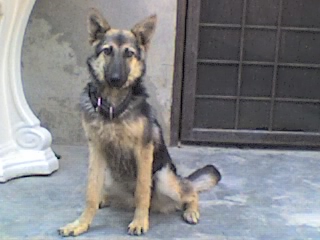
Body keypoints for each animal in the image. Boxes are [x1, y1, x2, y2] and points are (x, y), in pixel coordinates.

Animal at [58, 8, 220, 236]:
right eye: (107, 51)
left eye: (129, 53)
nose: (116, 79)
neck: (113, 108)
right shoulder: (97, 150)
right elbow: (91, 192)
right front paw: (80, 223)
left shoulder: (143, 151)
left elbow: (142, 191)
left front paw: (140, 221)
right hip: (111, 175)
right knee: (108, 193)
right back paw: (105, 199)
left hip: (164, 178)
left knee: (189, 191)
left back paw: (191, 211)